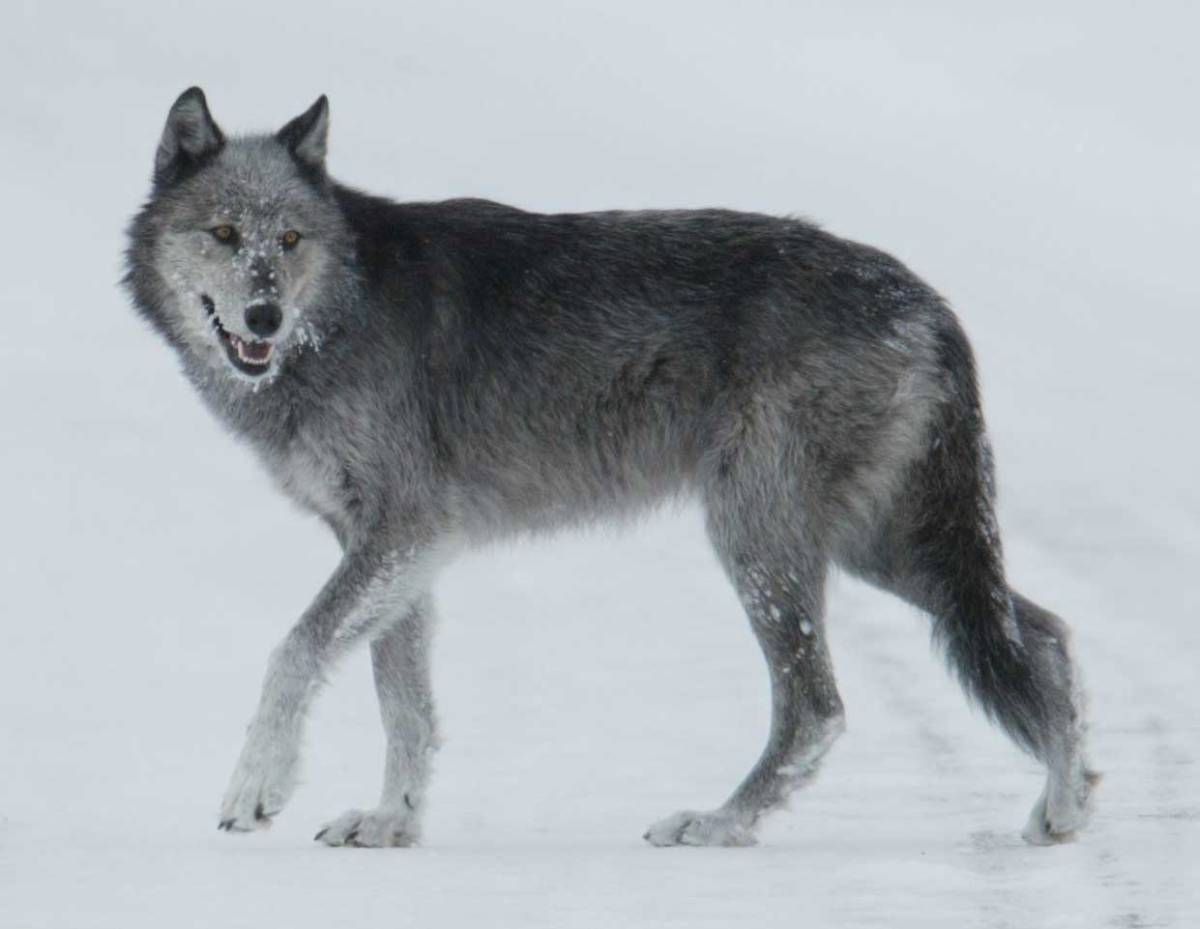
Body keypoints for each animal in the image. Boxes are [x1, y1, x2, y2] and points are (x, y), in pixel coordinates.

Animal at [124, 87, 1096, 848]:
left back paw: (716, 823)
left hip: (763, 540)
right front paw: (392, 822)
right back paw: (1065, 808)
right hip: (881, 548)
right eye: (224, 233)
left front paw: (256, 788)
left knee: (818, 707)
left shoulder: (404, 530)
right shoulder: (395, 548)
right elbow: (404, 701)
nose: (263, 316)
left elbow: (294, 650)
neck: (342, 311)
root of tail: (926, 299)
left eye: (288, 240)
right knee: (1045, 632)